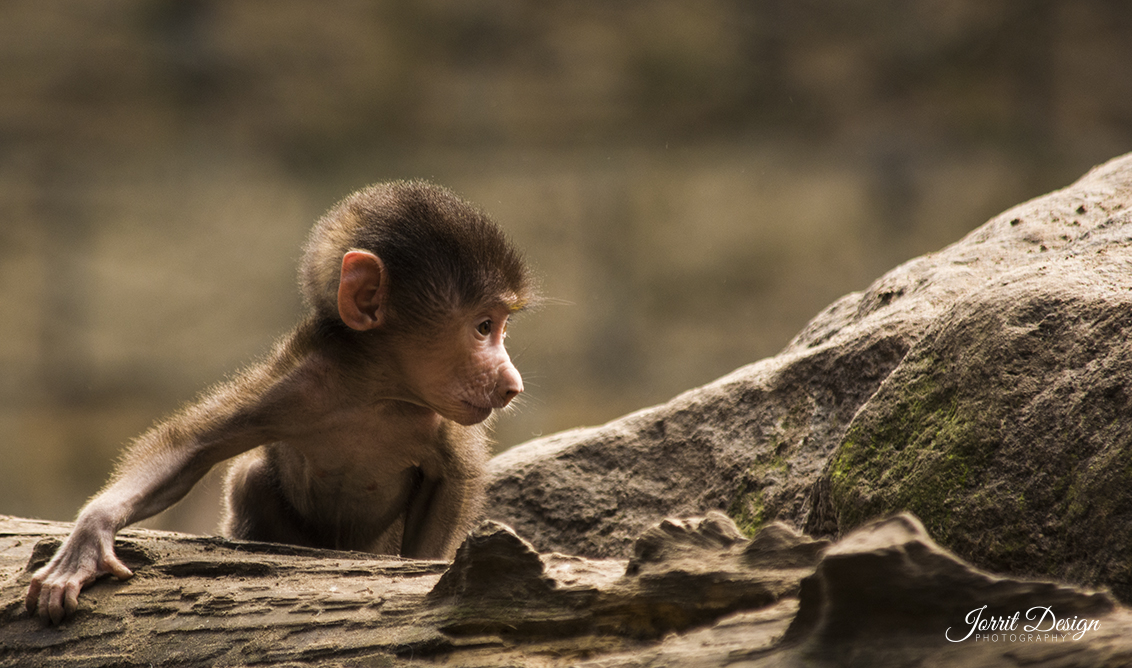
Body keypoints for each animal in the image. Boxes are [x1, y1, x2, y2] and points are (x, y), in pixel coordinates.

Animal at [25, 181, 537, 624]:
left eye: (499, 327)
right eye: (483, 327)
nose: (512, 384)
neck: (379, 394)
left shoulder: (443, 421)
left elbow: (452, 481)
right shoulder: (299, 384)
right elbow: (188, 448)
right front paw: (90, 536)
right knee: (249, 476)